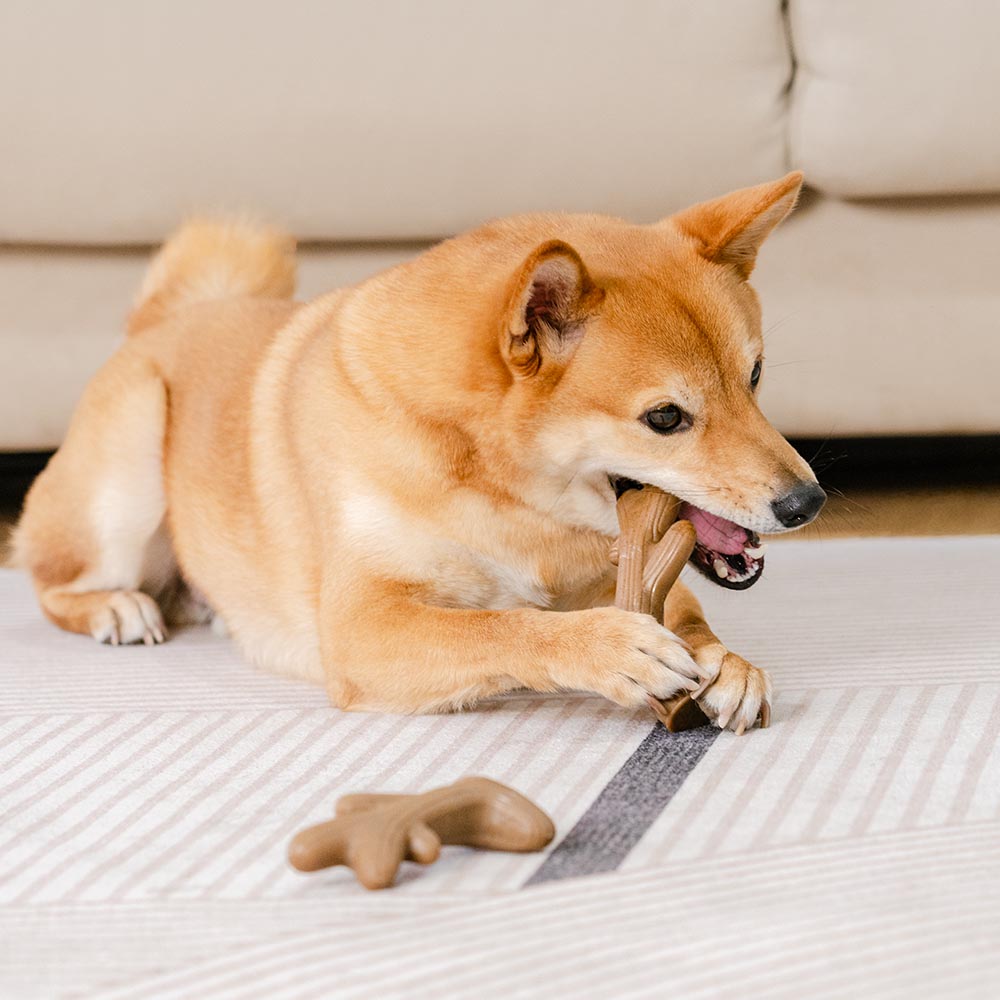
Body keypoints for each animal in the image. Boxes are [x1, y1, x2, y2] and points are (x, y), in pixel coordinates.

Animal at [13, 174, 828, 736]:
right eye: (665, 418)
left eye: (754, 377)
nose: (807, 502)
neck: (503, 494)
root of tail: (165, 320)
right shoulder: (363, 626)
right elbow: (503, 626)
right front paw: (605, 646)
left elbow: (686, 612)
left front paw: (727, 664)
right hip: (132, 453)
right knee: (53, 584)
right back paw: (116, 606)